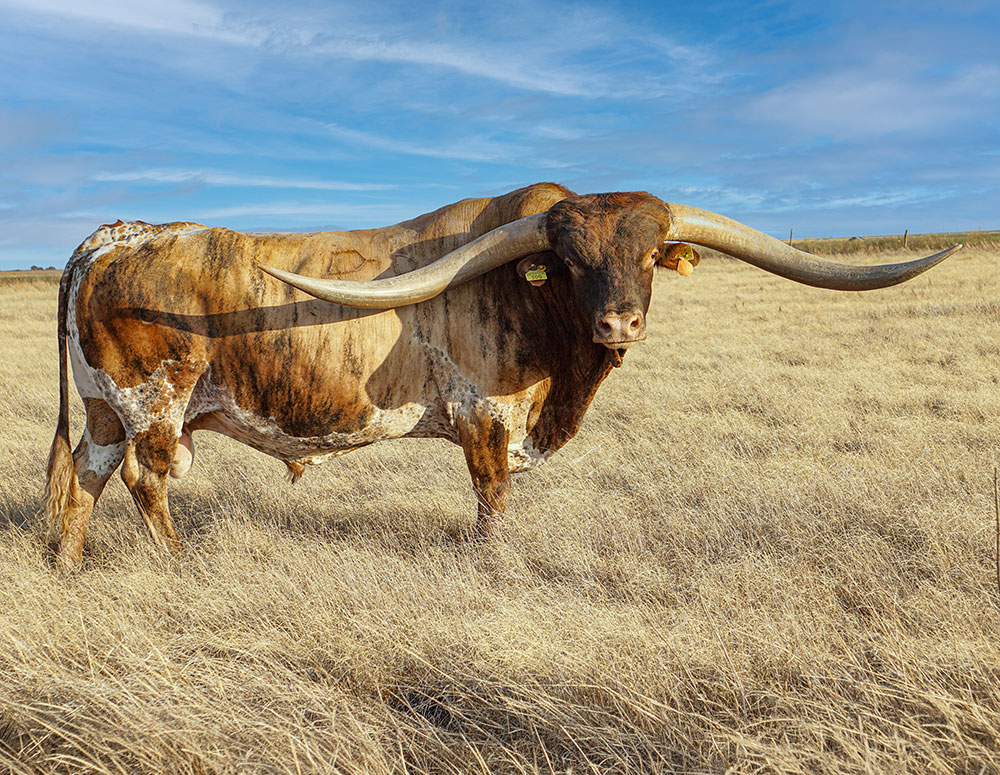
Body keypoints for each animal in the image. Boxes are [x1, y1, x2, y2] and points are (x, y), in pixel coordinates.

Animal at [44, 183, 960, 568]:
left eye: (646, 257)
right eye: (570, 261)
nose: (619, 322)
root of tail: (112, 236)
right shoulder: (484, 418)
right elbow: (492, 505)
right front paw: (490, 562)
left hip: (103, 408)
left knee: (84, 475)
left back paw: (70, 564)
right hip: (154, 405)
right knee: (146, 478)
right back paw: (179, 562)